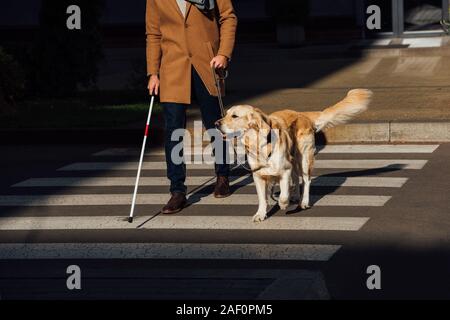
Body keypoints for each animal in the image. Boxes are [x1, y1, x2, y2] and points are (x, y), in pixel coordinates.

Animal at [216, 89, 370, 221]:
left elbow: (284, 194)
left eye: (234, 116)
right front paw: (260, 214)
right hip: (294, 159)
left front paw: (283, 203)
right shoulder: (258, 175)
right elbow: (262, 198)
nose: (216, 123)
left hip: (304, 159)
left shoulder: (284, 170)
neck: (259, 145)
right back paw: (296, 196)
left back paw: (304, 201)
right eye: (226, 114)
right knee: (296, 178)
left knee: (306, 180)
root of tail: (302, 114)